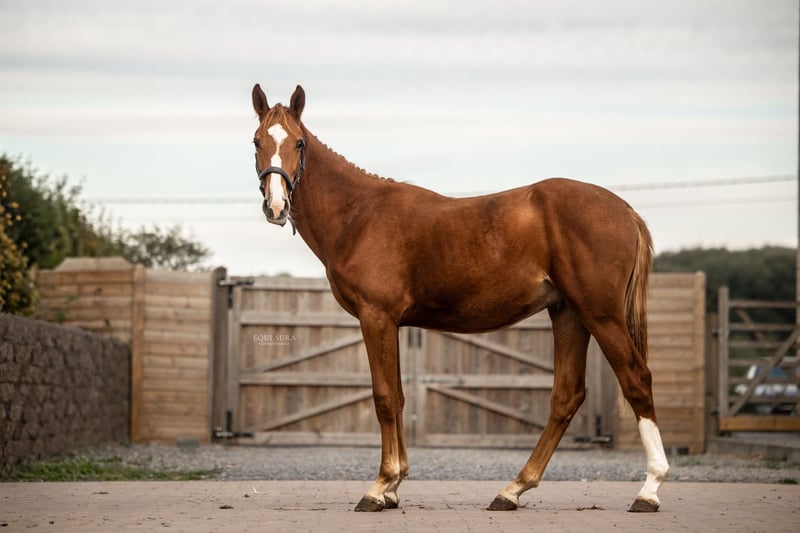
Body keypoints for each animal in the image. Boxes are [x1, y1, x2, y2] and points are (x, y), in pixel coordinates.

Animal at [250, 84, 669, 513]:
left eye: (299, 143)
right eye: (257, 142)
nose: (276, 206)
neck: (359, 215)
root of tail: (625, 210)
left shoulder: (376, 317)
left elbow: (383, 397)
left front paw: (379, 486)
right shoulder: (391, 323)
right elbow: (398, 398)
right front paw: (394, 485)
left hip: (601, 315)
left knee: (636, 379)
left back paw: (649, 490)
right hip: (568, 314)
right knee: (566, 397)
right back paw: (513, 489)